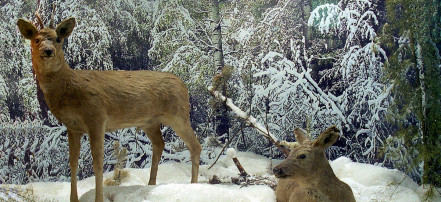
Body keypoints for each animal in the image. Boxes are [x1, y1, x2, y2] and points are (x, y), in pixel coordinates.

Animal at [16, 15, 201, 201]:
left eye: (58, 39)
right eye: (37, 40)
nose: (48, 51)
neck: (69, 88)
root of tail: (184, 86)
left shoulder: (97, 117)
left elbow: (98, 163)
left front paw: (98, 198)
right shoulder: (72, 127)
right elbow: (73, 162)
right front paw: (73, 198)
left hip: (178, 114)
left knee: (195, 145)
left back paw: (194, 185)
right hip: (151, 122)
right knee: (160, 144)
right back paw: (151, 184)